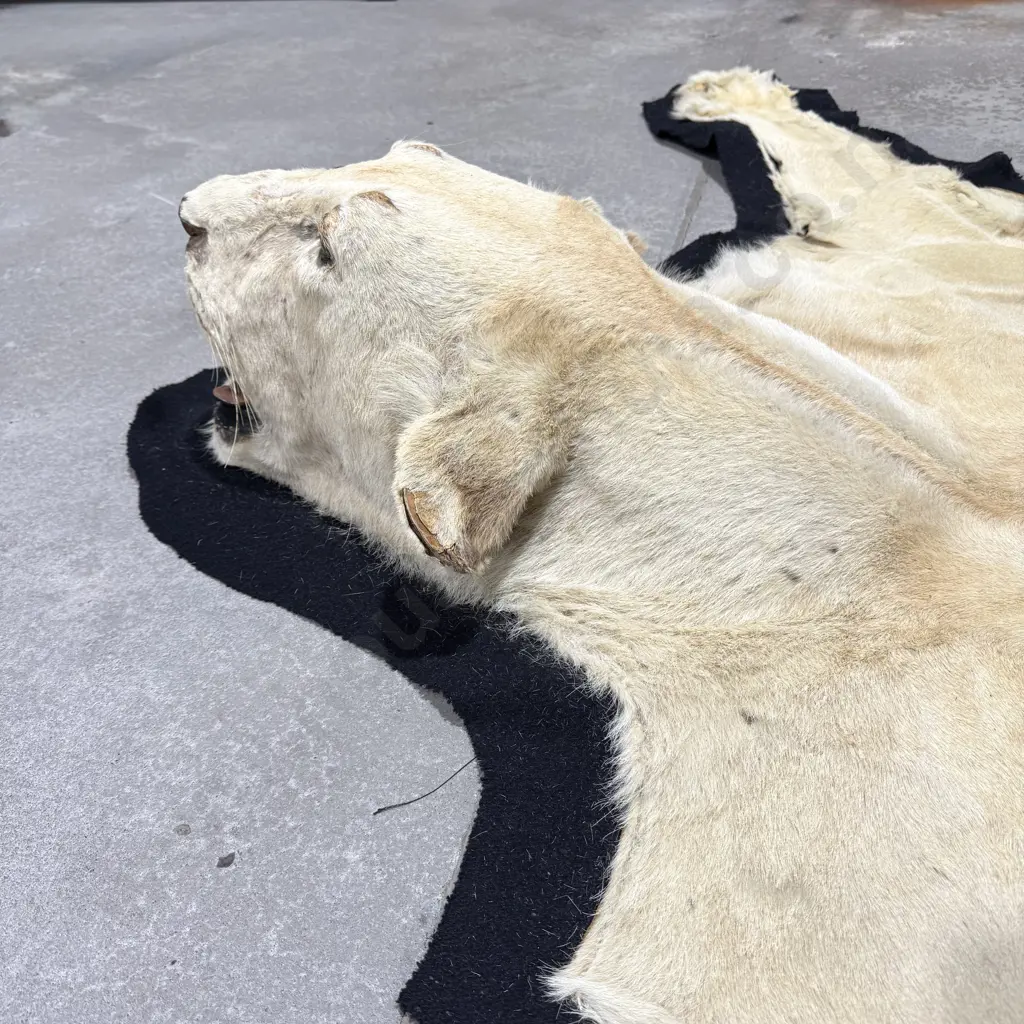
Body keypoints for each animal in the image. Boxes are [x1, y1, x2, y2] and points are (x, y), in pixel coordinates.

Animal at [180, 71, 1024, 1024]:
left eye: (323, 245)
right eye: (393, 156)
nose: (187, 215)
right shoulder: (911, 296)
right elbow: (888, 194)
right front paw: (718, 95)